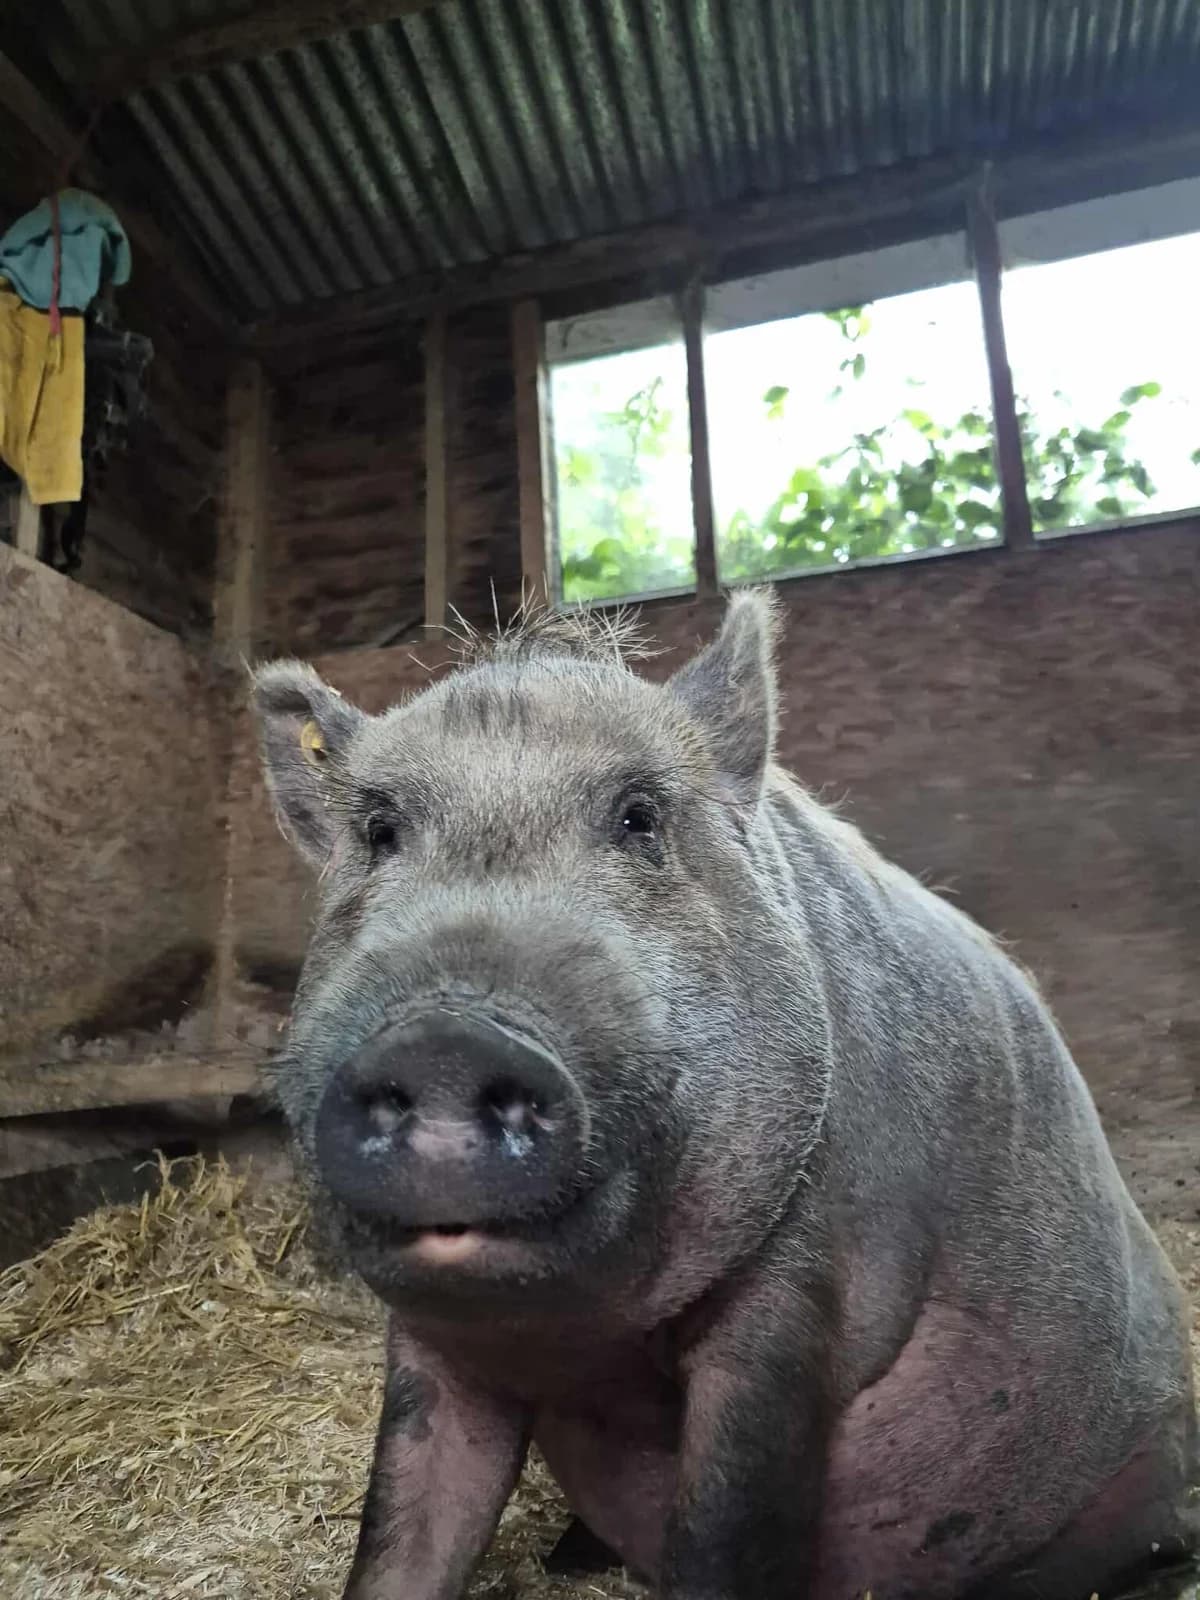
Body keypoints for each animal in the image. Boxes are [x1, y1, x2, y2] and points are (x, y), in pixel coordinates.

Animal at [252, 592, 1197, 1600]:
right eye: (380, 832)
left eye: (638, 818)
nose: (444, 1037)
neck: (581, 1342)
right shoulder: (435, 1341)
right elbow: (405, 1529)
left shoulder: (805, 1281)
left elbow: (726, 1524)